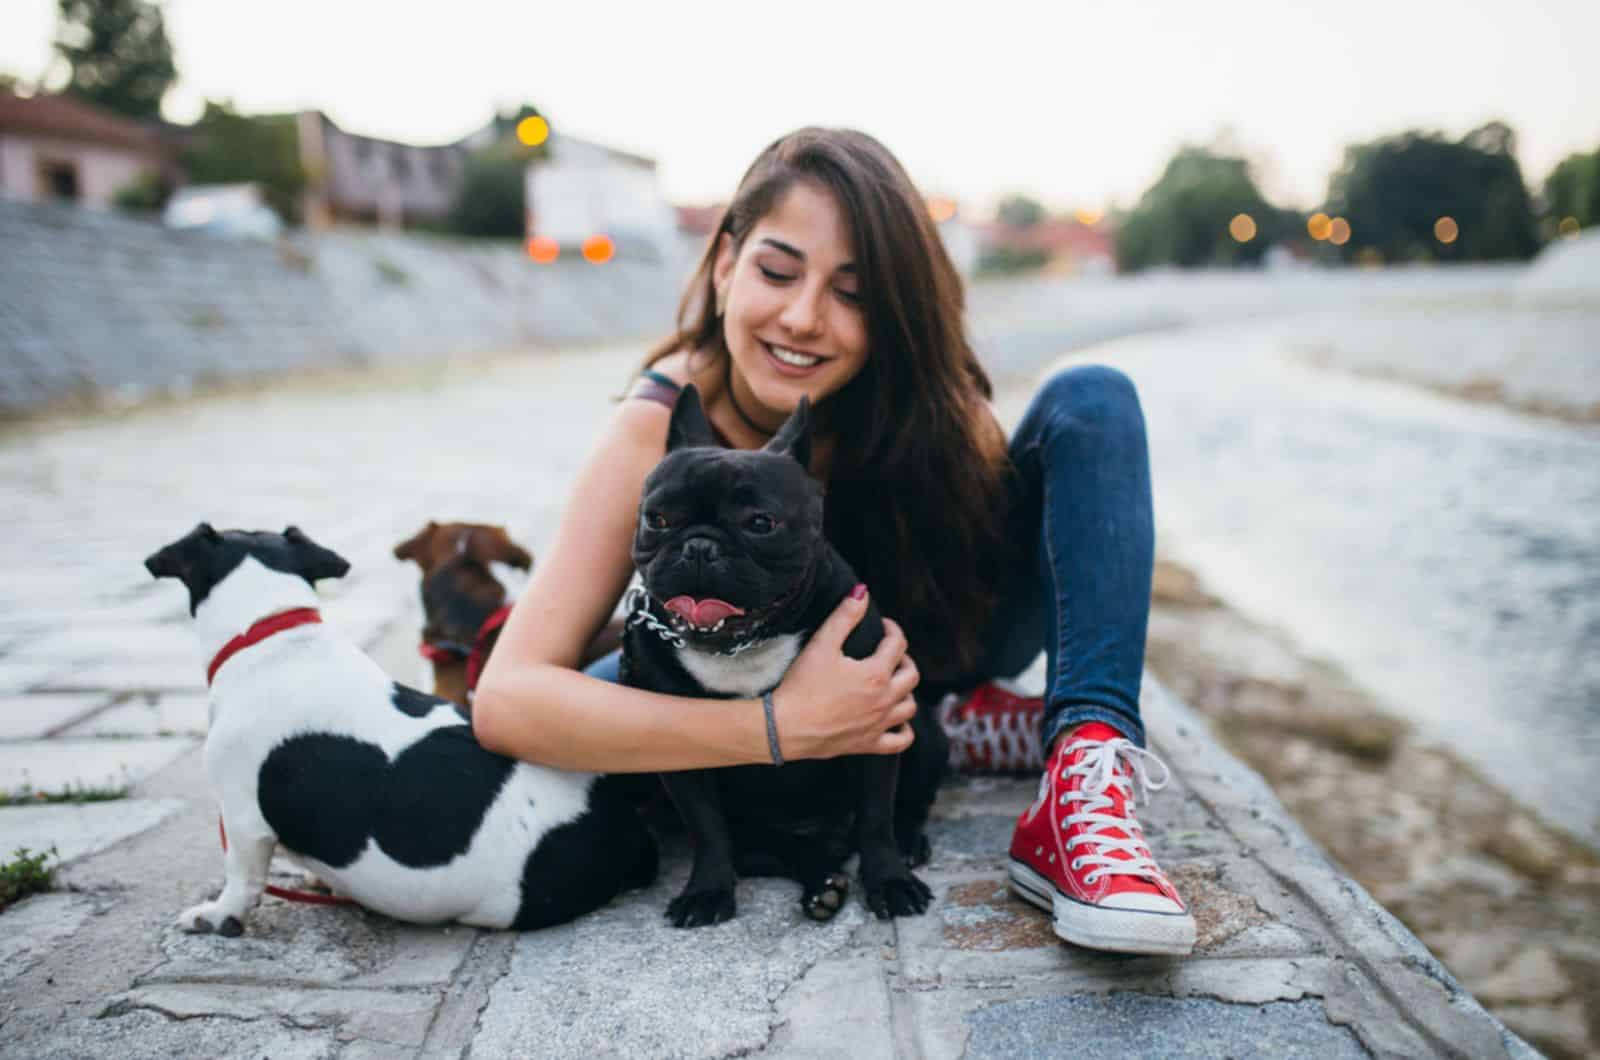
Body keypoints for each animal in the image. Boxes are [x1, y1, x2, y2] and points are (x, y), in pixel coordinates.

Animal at [620, 385, 947, 928]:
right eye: (656, 518)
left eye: (761, 523)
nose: (699, 546)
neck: (743, 646)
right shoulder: (680, 761)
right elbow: (706, 829)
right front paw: (706, 890)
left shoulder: (877, 725)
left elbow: (876, 817)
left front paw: (889, 880)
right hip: (759, 836)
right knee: (786, 852)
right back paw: (823, 886)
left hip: (921, 730)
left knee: (901, 808)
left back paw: (906, 842)